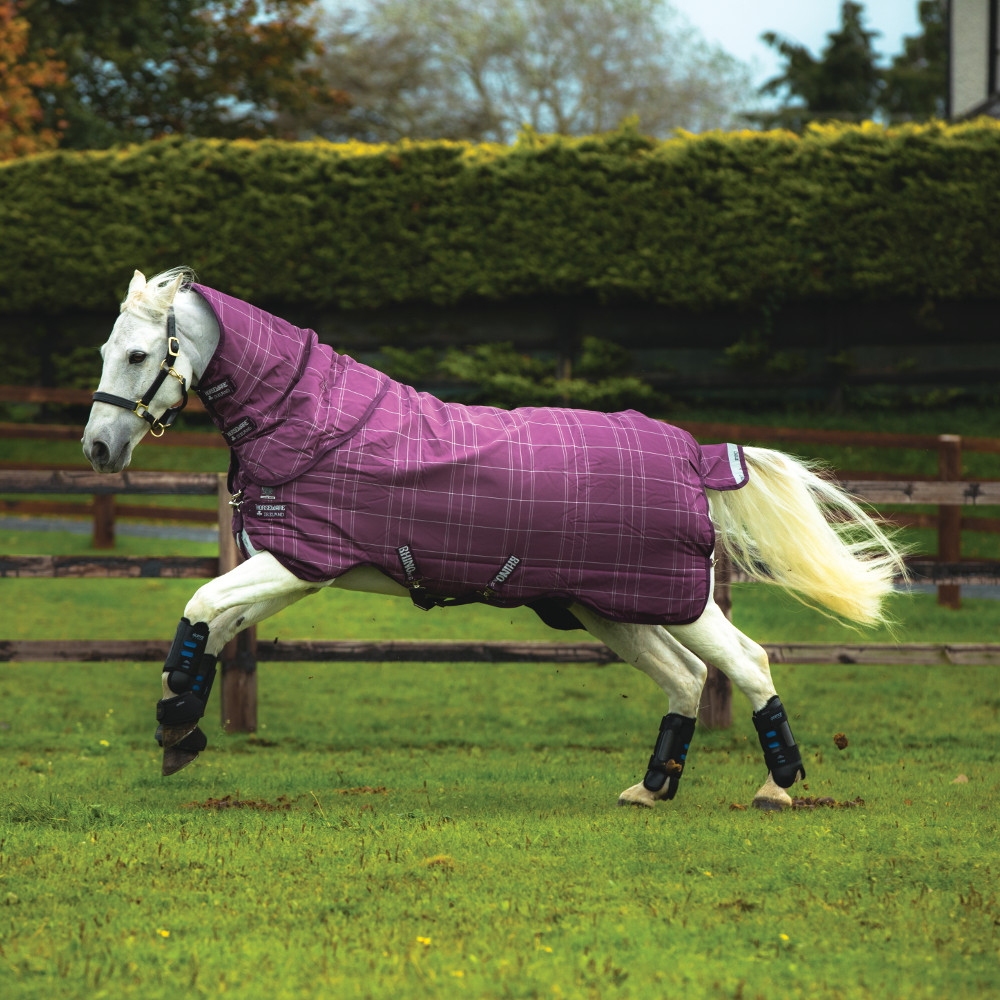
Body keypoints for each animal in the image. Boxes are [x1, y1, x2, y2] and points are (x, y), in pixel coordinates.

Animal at [82, 268, 905, 810]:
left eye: (136, 355)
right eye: (104, 351)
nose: (97, 448)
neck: (311, 420)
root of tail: (694, 454)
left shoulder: (299, 562)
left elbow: (200, 606)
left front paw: (175, 725)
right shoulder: (294, 571)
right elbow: (215, 627)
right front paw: (180, 728)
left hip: (678, 600)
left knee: (747, 663)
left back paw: (776, 787)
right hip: (611, 608)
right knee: (685, 677)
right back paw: (649, 788)